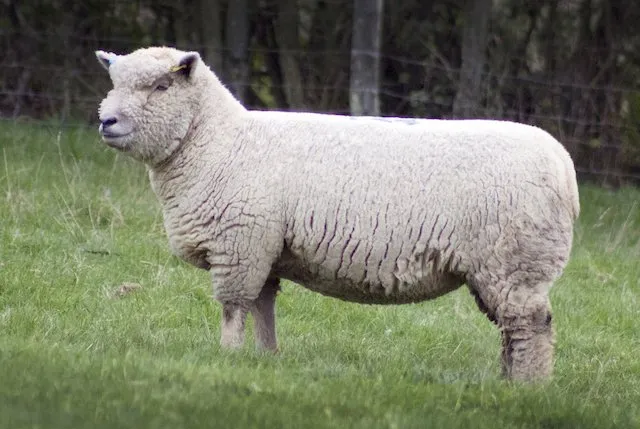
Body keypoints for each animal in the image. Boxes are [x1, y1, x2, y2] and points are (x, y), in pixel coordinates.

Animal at [95, 46, 580, 382]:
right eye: (114, 84)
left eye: (161, 87)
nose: (106, 121)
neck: (219, 142)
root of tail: (564, 164)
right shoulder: (264, 246)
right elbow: (263, 307)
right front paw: (266, 358)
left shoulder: (241, 244)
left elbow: (234, 308)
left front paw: (227, 357)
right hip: (499, 269)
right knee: (512, 331)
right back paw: (506, 381)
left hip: (516, 262)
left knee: (532, 328)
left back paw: (529, 387)